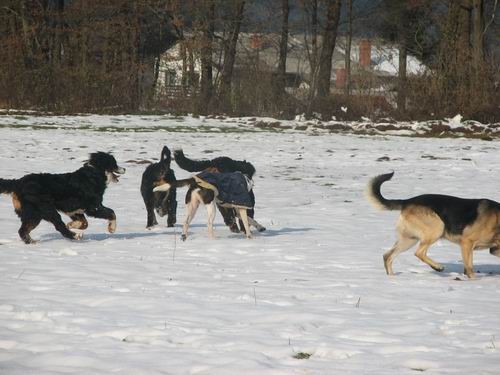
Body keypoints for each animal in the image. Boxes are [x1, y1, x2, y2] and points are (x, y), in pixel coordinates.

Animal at [366, 173, 500, 280]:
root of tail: (407, 201)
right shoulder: (467, 242)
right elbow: (469, 267)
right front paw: (473, 280)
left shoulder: (493, 249)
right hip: (437, 228)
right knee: (419, 252)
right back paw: (438, 267)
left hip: (409, 240)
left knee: (387, 256)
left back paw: (392, 278)